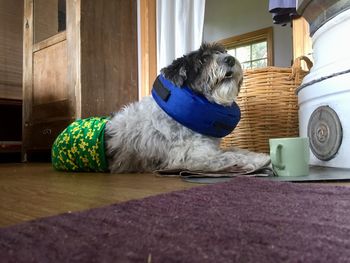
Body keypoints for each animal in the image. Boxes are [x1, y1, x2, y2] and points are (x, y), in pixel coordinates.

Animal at [52, 42, 270, 173]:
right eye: (202, 60)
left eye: (222, 52)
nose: (230, 59)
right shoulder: (192, 156)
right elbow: (227, 157)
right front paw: (257, 162)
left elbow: (235, 149)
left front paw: (258, 155)